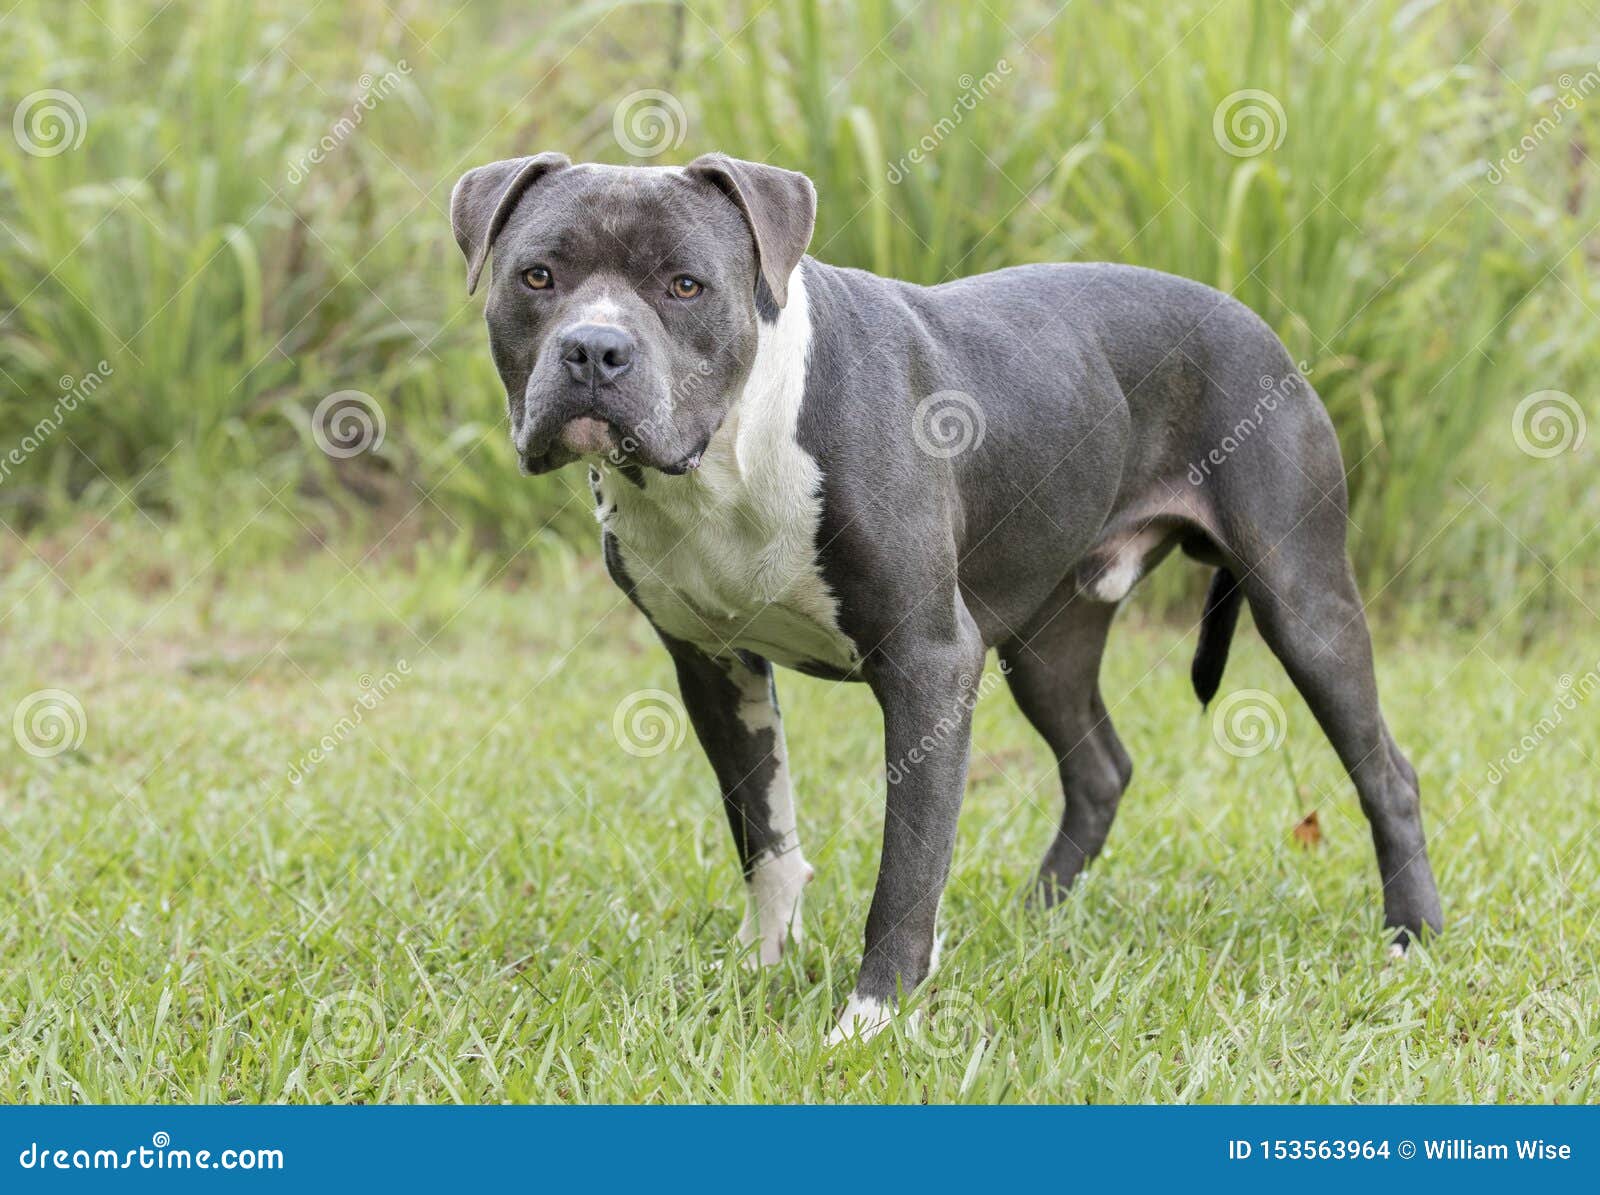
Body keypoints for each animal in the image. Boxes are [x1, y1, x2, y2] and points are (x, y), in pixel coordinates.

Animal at [451, 149, 1452, 1043]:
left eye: (685, 285)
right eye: (538, 275)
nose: (593, 348)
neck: (732, 455)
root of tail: (1256, 321)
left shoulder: (929, 662)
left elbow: (907, 866)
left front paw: (870, 1021)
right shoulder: (713, 666)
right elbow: (764, 832)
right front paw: (763, 966)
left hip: (1302, 598)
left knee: (1386, 769)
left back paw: (1412, 939)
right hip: (1048, 640)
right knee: (1100, 767)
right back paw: (1036, 916)